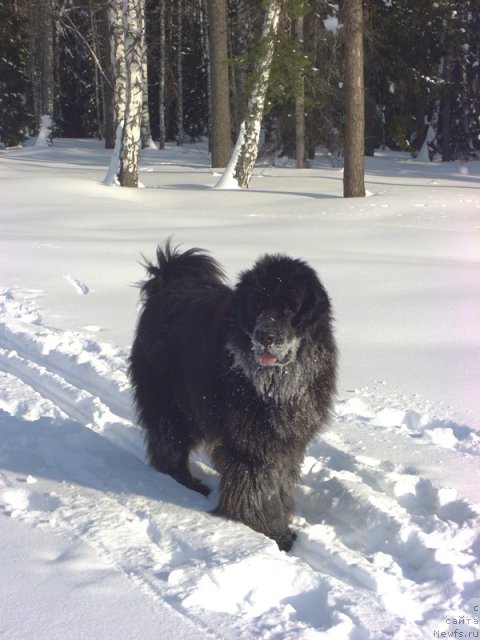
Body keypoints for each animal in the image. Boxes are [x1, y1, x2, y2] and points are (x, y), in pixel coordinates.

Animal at [129, 240, 336, 552]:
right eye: (258, 306)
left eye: (290, 308)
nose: (266, 336)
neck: (277, 382)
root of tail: (168, 284)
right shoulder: (250, 443)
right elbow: (259, 490)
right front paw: (273, 533)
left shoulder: (287, 440)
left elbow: (279, 483)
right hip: (171, 401)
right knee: (168, 442)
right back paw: (186, 482)